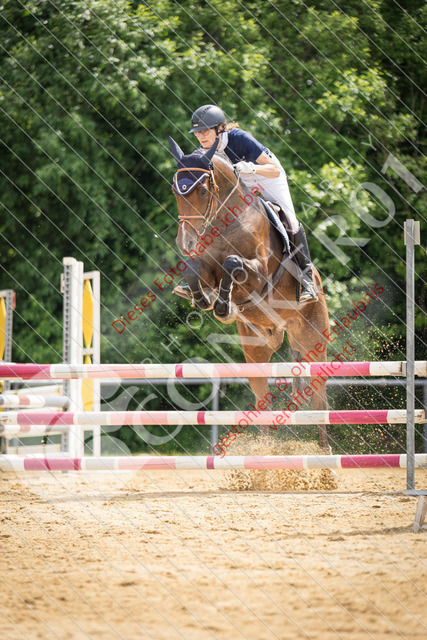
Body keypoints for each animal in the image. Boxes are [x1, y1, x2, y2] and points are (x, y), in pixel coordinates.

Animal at [169, 137, 331, 451]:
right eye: (175, 191)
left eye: (203, 190)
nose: (186, 242)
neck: (225, 221)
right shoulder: (205, 268)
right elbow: (194, 271)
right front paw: (206, 301)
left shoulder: (258, 275)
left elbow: (232, 264)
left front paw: (223, 307)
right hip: (256, 348)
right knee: (262, 400)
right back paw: (264, 450)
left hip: (313, 342)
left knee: (319, 397)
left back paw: (325, 451)